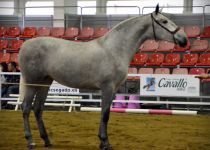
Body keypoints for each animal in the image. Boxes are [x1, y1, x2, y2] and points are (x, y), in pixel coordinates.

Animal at [18, 5, 187, 149]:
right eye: (164, 21)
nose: (184, 39)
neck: (114, 48)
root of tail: (25, 45)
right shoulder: (107, 87)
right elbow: (105, 114)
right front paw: (105, 143)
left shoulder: (114, 89)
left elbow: (105, 113)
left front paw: (102, 141)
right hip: (32, 83)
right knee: (26, 108)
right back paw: (30, 141)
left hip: (44, 83)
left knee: (38, 109)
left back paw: (47, 140)